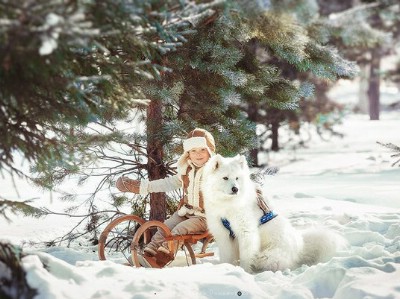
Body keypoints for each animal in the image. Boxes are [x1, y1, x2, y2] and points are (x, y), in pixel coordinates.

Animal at [202, 155, 346, 274]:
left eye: (237, 178)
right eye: (225, 178)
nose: (235, 189)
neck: (227, 205)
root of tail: (301, 247)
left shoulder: (246, 232)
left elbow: (246, 256)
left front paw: (244, 271)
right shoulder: (223, 234)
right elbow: (226, 256)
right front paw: (225, 268)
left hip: (268, 256)